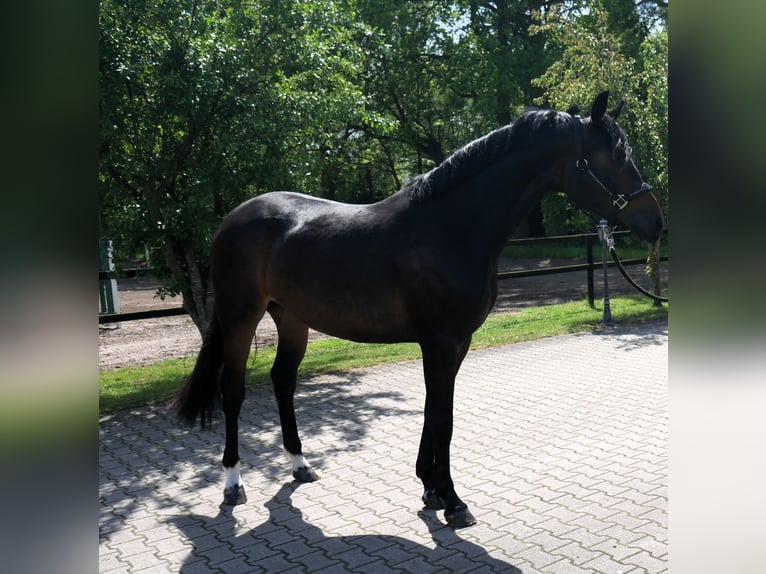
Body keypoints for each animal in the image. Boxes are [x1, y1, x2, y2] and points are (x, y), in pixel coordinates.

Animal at [173, 91, 665, 528]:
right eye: (615, 156)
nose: (656, 222)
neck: (452, 228)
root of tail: (232, 219)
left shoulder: (456, 342)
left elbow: (434, 410)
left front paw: (430, 489)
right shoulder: (441, 341)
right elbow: (444, 417)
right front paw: (453, 501)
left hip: (292, 318)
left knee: (282, 381)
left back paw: (299, 464)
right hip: (241, 317)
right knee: (233, 390)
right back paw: (233, 483)